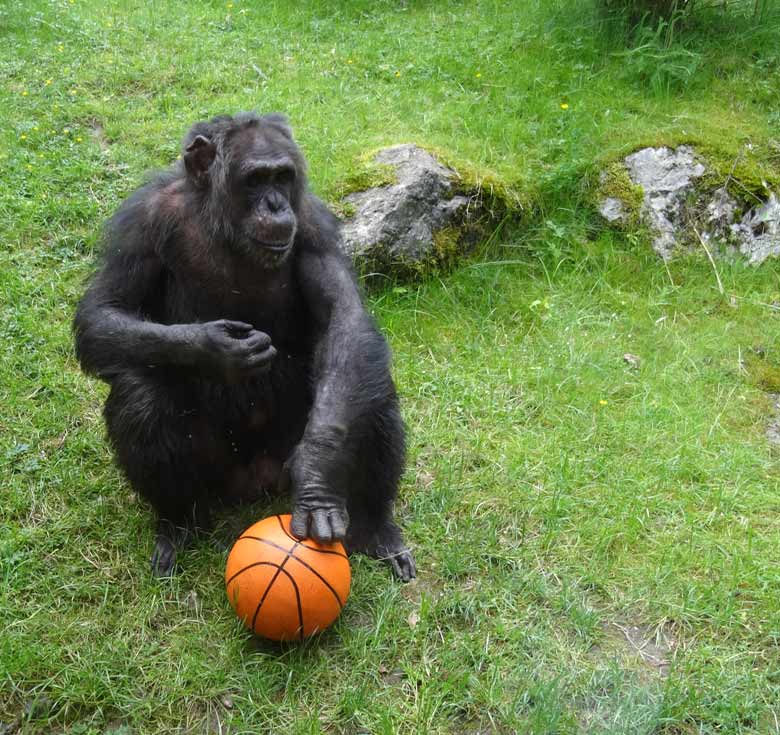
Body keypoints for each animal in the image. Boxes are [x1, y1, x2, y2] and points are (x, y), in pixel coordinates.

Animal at [72, 110, 414, 580]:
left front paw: (317, 477)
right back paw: (177, 524)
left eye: (282, 176)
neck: (221, 222)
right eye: (255, 179)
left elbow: (343, 319)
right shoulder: (141, 219)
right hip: (217, 475)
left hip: (281, 457)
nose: (275, 204)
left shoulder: (314, 222)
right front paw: (214, 348)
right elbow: (103, 311)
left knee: (368, 387)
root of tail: (255, 484)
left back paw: (375, 527)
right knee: (140, 391)